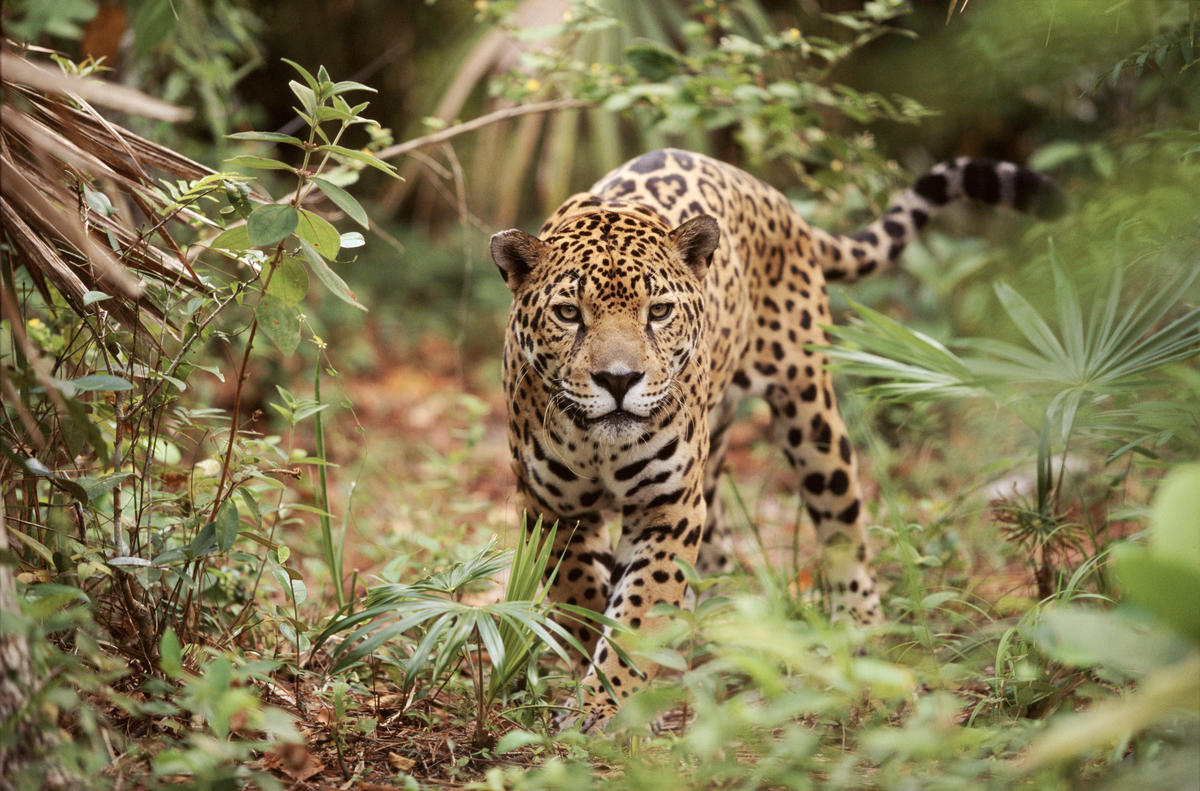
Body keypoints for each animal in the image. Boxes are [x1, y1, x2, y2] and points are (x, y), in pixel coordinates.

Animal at [489, 148, 1065, 732]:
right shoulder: (551, 509)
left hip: (810, 412)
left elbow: (639, 609)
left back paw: (859, 640)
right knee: (718, 552)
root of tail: (770, 195)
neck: (600, 447)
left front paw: (608, 704)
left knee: (843, 527)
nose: (619, 380)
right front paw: (597, 690)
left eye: (659, 311)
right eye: (568, 314)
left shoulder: (667, 507)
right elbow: (581, 597)